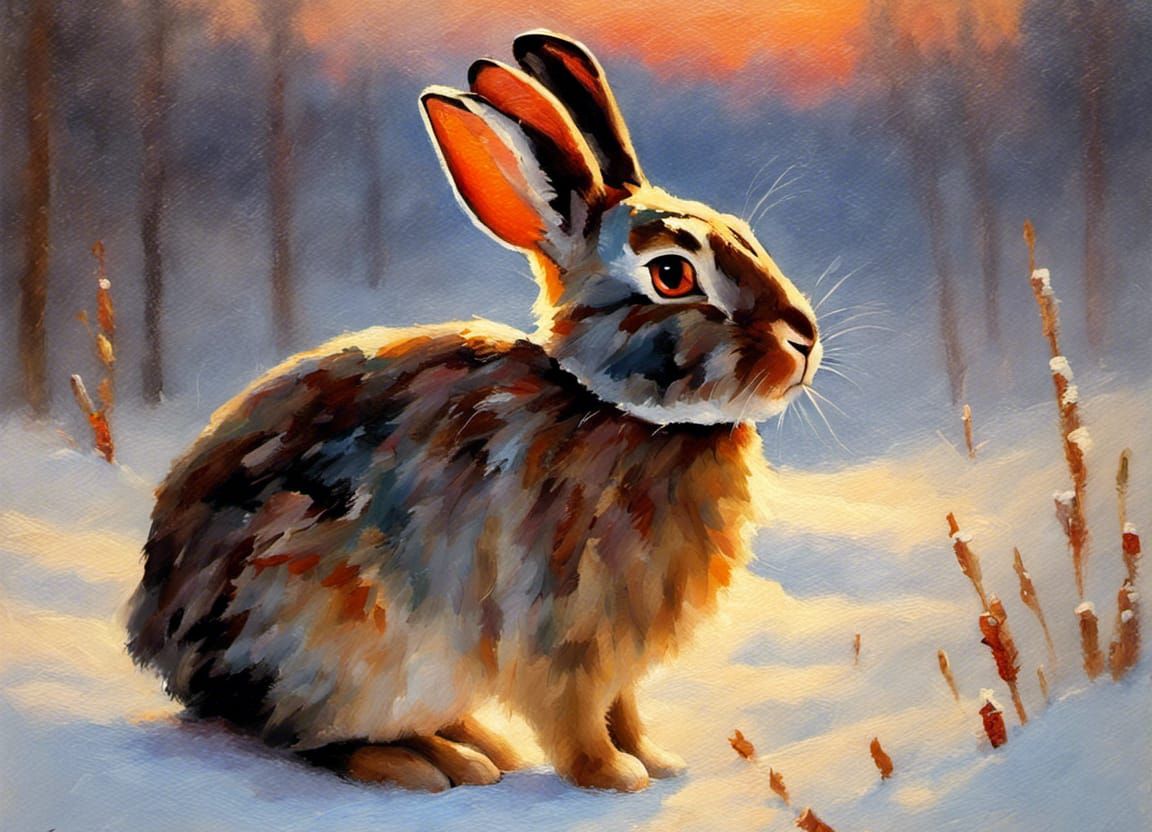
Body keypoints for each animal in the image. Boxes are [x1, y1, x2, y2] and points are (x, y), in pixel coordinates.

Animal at [125, 30, 822, 793]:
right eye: (672, 274)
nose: (804, 340)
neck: (619, 410)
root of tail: (166, 651)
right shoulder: (560, 633)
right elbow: (578, 719)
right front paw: (614, 778)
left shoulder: (615, 659)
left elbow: (625, 709)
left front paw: (657, 762)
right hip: (332, 636)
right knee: (307, 739)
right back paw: (430, 766)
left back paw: (481, 750)